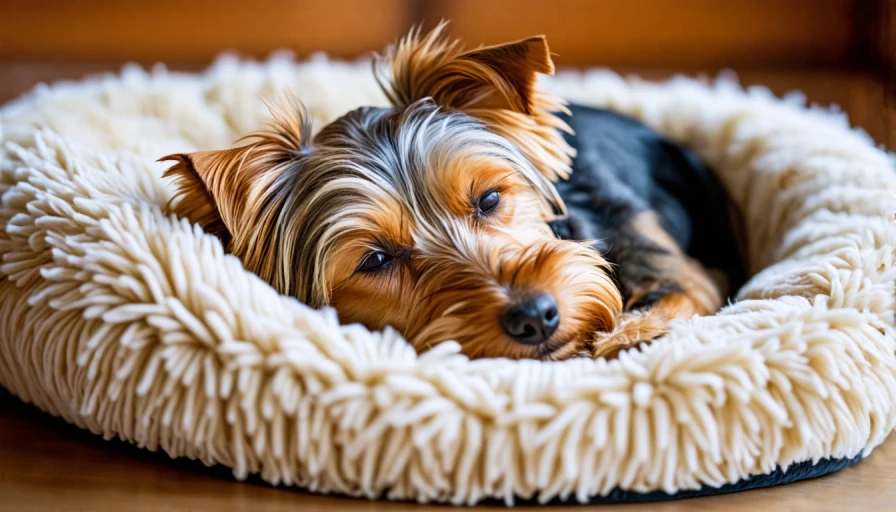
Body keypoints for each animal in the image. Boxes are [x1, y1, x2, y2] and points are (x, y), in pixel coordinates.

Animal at [159, 24, 744, 360]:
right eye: (375, 259)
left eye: (489, 200)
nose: (536, 316)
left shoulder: (683, 269)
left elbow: (681, 292)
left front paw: (631, 336)